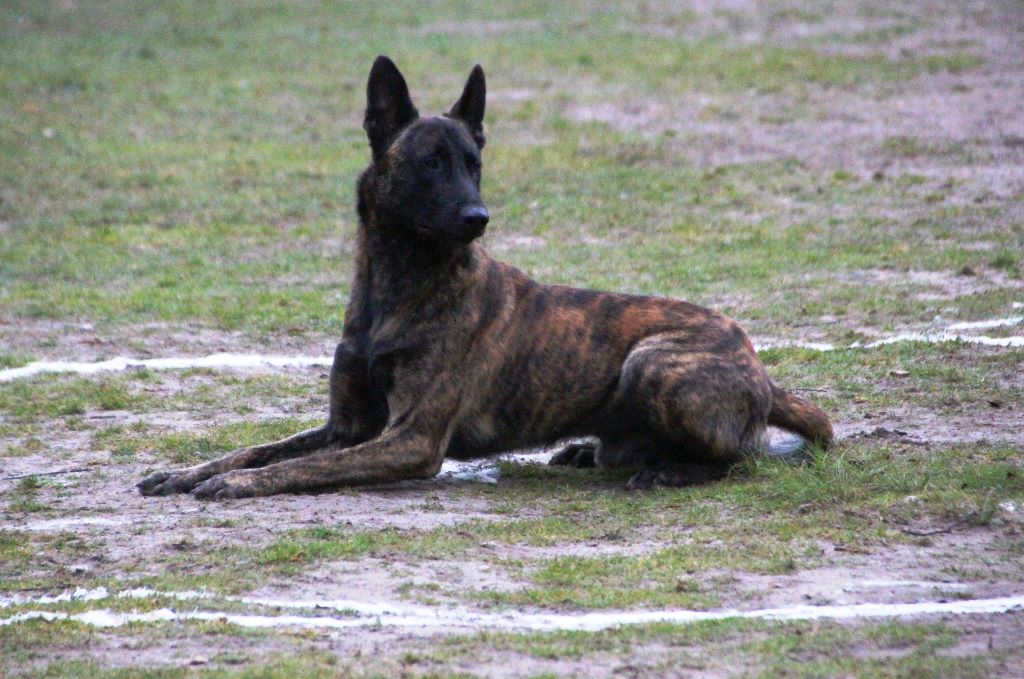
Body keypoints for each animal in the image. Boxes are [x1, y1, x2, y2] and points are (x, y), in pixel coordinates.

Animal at [138, 57, 831, 499]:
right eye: (430, 163)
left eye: (474, 163)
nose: (479, 217)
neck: (400, 283)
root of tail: (759, 366)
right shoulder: (348, 426)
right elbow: (266, 447)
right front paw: (189, 471)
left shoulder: (411, 440)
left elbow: (301, 468)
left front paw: (234, 483)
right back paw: (595, 451)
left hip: (654, 362)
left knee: (741, 457)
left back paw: (668, 470)